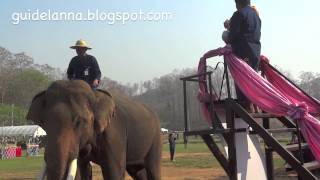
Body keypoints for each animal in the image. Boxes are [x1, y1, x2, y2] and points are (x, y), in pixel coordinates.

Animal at [26, 80, 162, 180]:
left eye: (79, 122)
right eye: (44, 123)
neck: (94, 94)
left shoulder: (114, 133)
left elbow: (114, 171)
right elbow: (79, 170)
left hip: (156, 137)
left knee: (153, 168)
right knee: (138, 171)